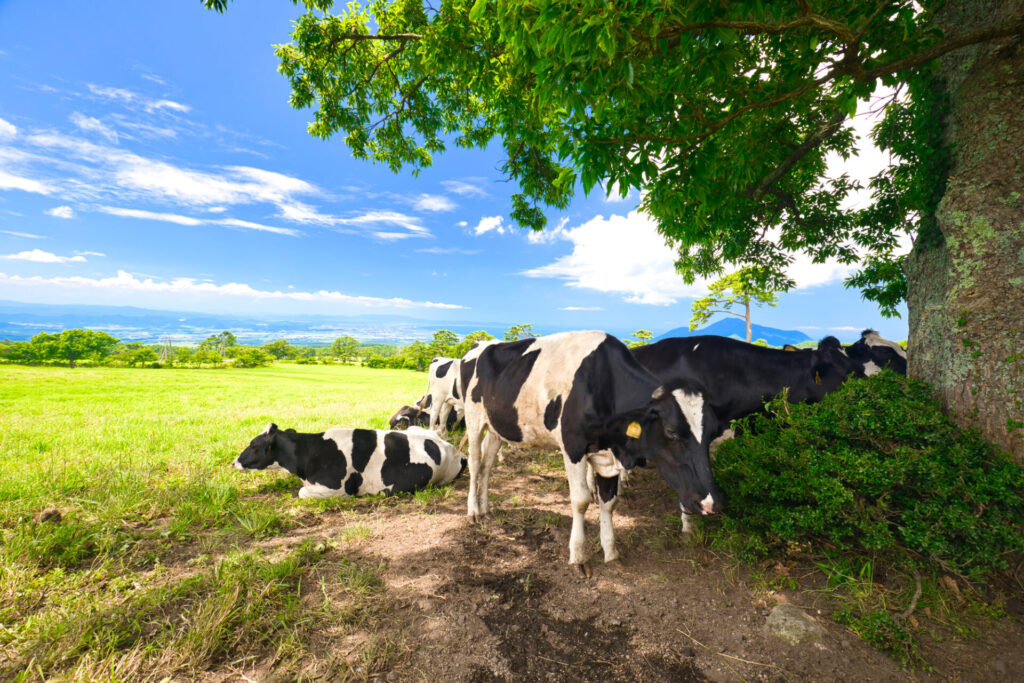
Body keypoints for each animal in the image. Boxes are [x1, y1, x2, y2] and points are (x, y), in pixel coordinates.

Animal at [460, 327, 724, 573]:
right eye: (672, 432)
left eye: (713, 432)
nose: (711, 503)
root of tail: (482, 344)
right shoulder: (573, 447)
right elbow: (581, 500)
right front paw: (578, 556)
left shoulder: (608, 453)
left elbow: (609, 502)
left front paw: (611, 552)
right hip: (473, 417)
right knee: (474, 461)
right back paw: (473, 511)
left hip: (496, 426)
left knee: (487, 463)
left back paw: (485, 508)